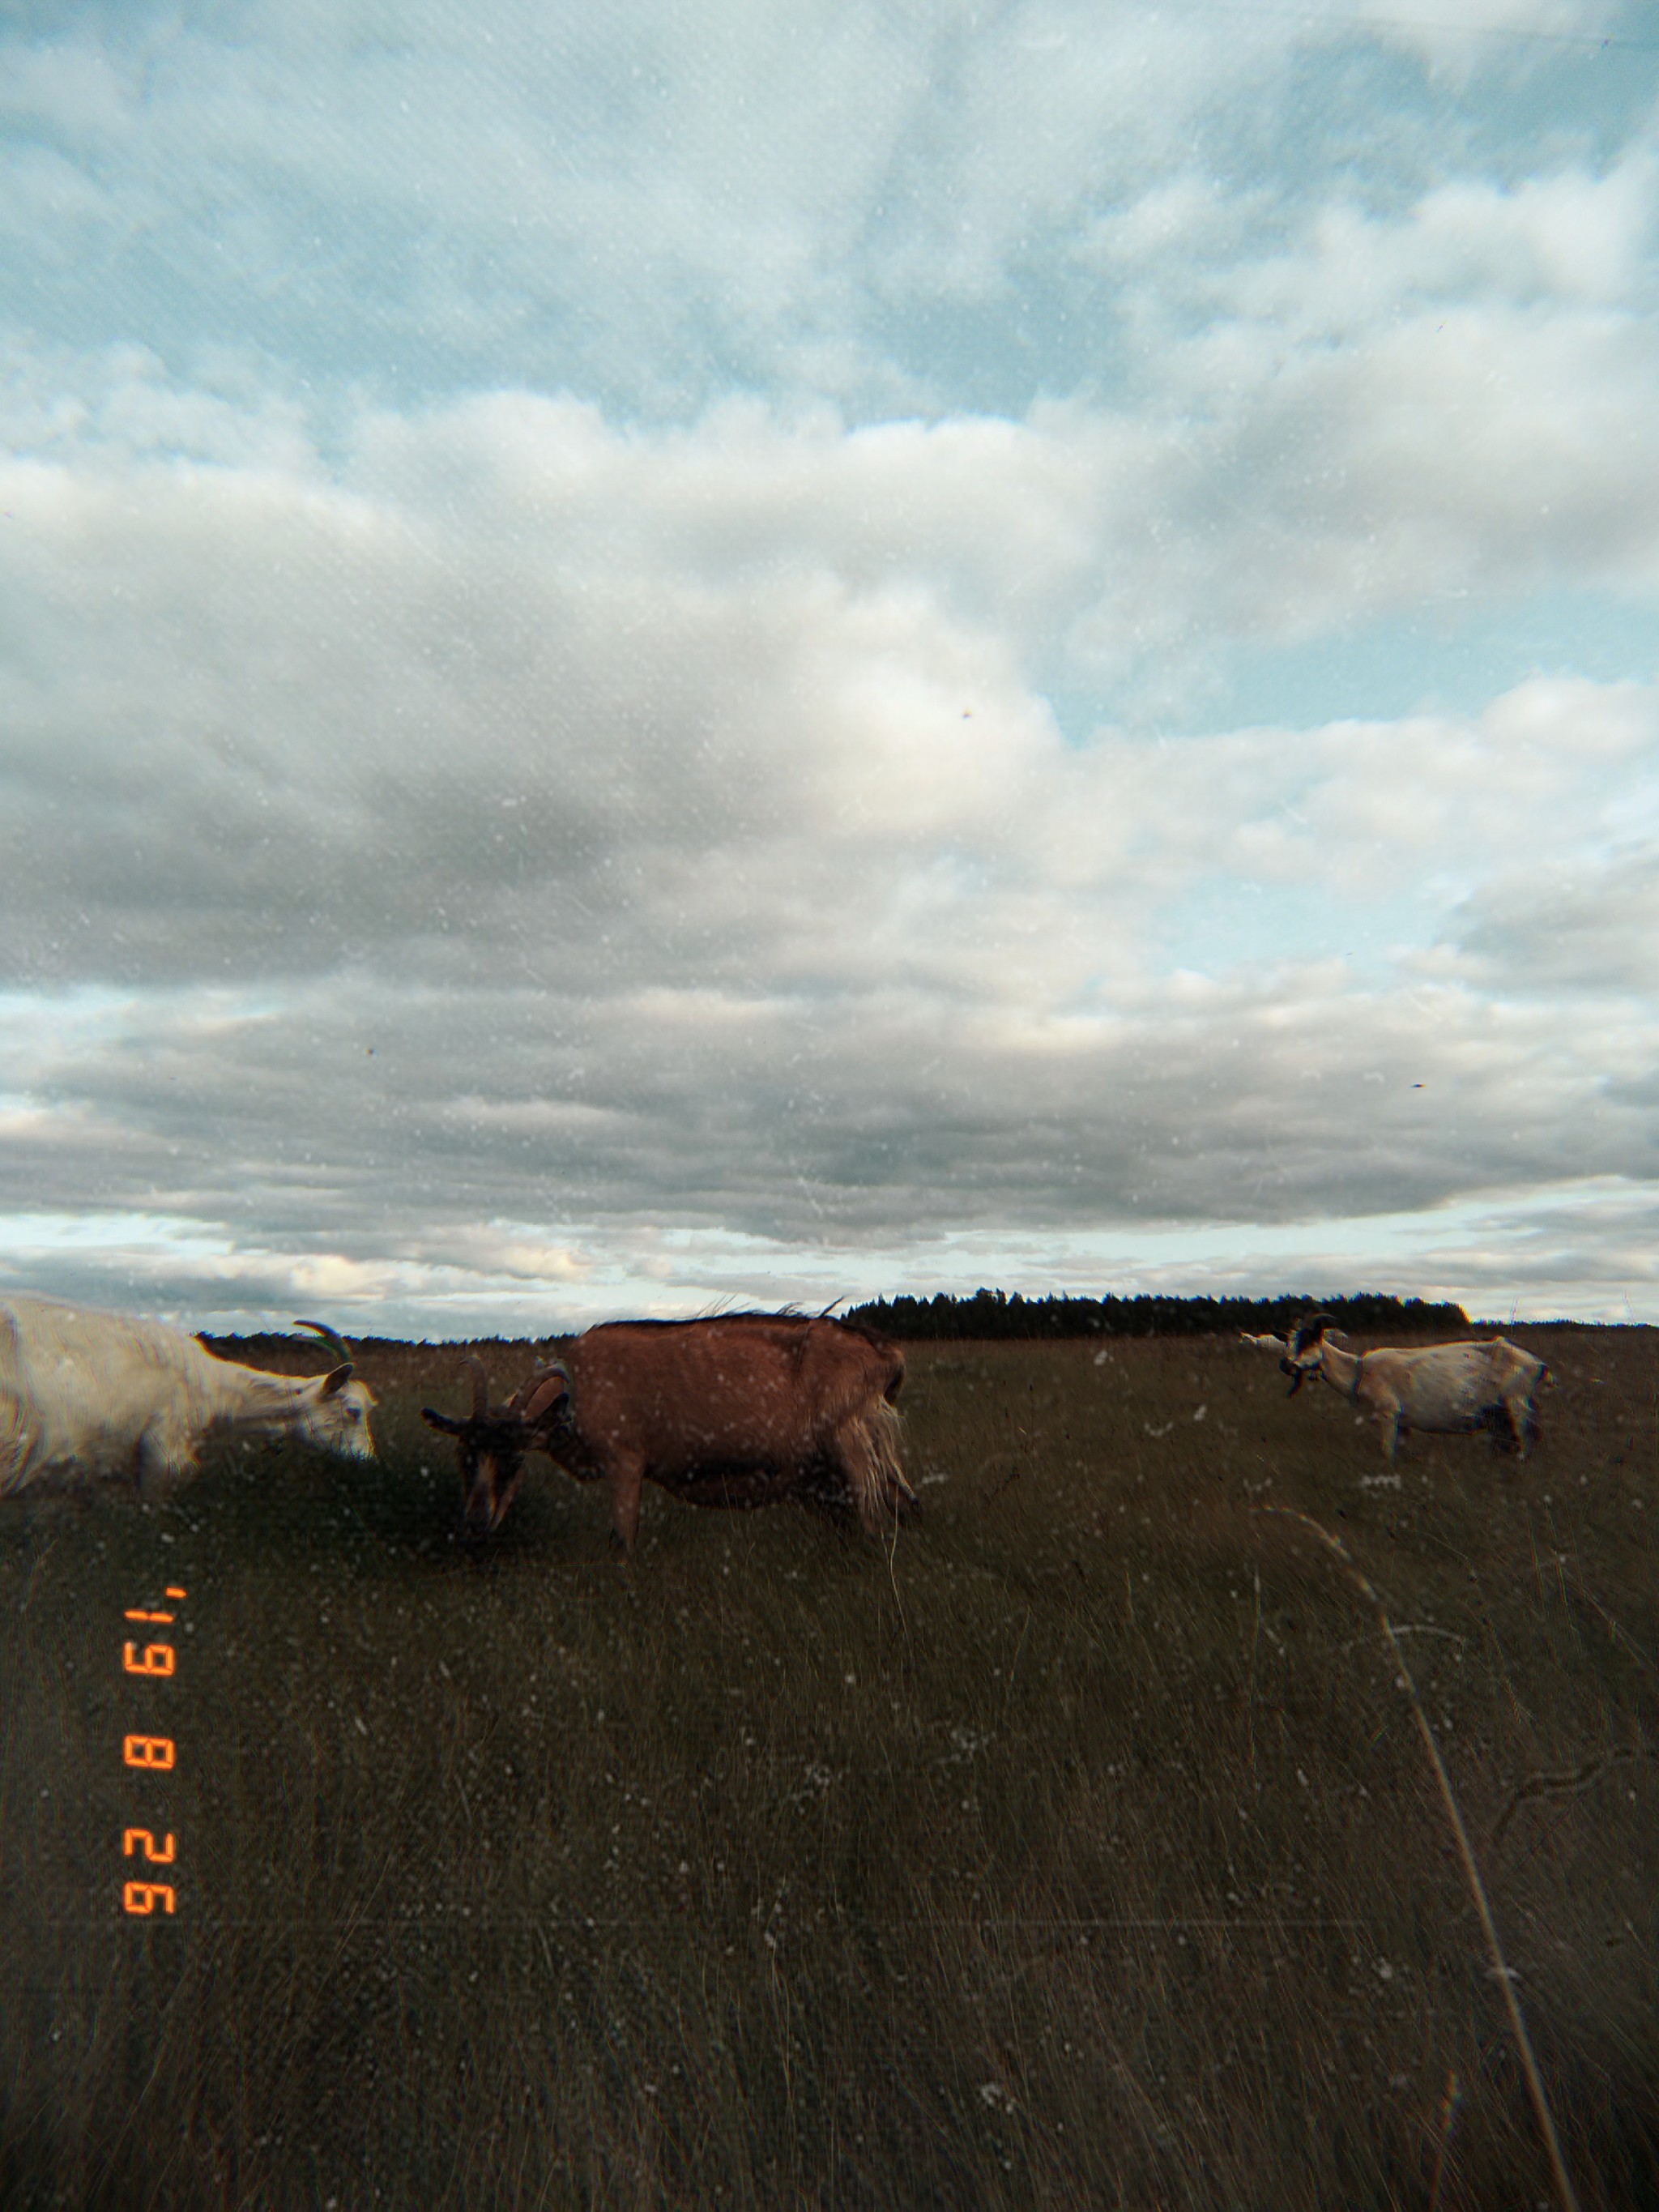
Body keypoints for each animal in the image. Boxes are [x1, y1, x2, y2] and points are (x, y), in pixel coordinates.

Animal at [416, 1318, 911, 1548]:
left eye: (515, 1457)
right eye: (463, 1457)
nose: (475, 1524)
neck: (580, 1390)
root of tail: (887, 1356)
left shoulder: (624, 1462)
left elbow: (622, 1542)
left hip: (850, 1444)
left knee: (876, 1516)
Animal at [1282, 1309, 1548, 1468]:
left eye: (1308, 1340)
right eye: (1289, 1341)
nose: (1285, 1364)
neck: (1360, 1371)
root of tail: (1536, 1364)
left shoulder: (1388, 1414)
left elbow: (1386, 1452)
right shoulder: (1403, 1424)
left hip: (1516, 1406)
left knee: (1525, 1442)